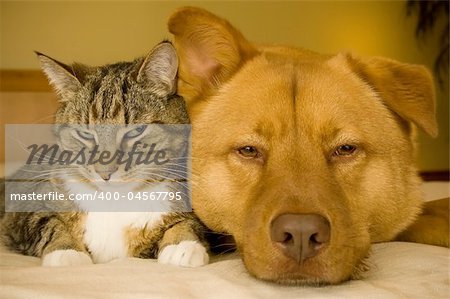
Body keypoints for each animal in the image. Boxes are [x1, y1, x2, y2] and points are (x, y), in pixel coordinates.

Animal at [0, 41, 210, 268]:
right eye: (85, 134)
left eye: (135, 131)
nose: (105, 173)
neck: (115, 201)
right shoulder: (22, 209)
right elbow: (49, 222)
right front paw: (66, 251)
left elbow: (188, 221)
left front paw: (183, 244)